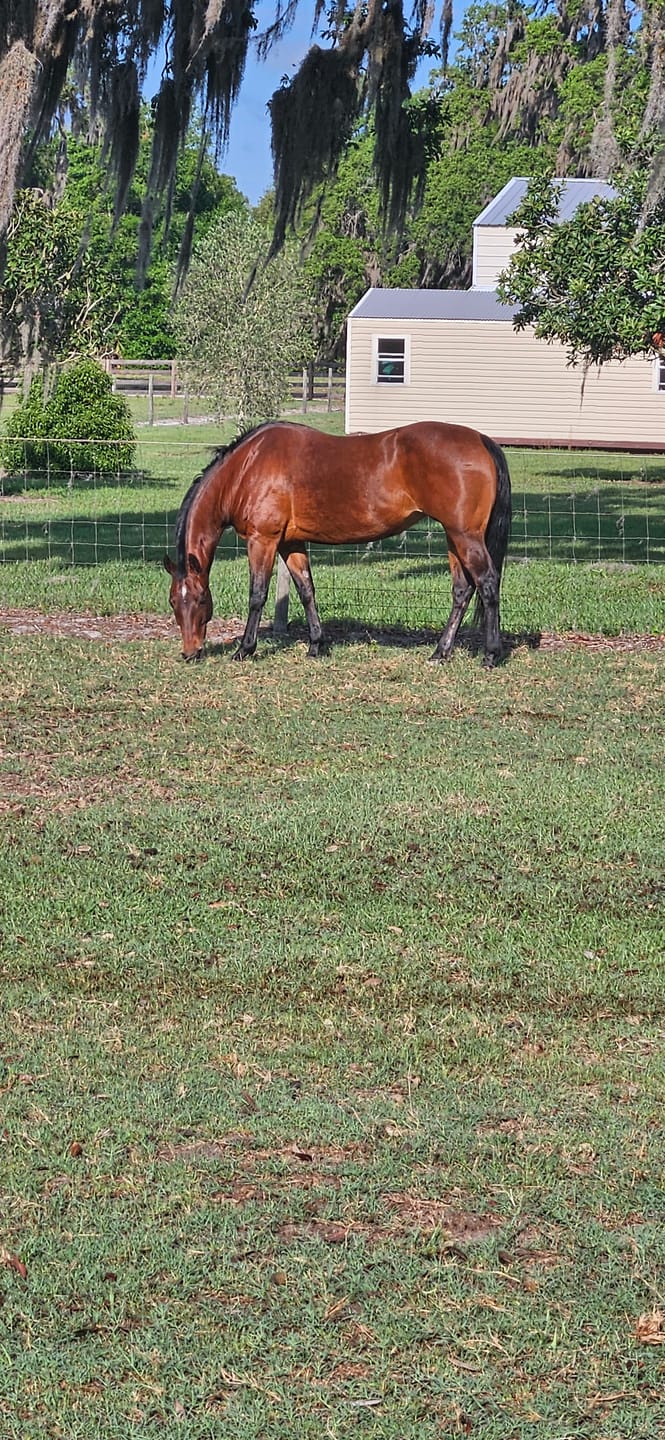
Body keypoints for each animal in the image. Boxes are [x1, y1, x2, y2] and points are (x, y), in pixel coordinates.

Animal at [164, 419, 512, 668]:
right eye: (173, 602)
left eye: (200, 600)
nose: (190, 652)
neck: (248, 467)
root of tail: (481, 440)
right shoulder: (291, 543)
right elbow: (306, 590)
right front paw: (316, 645)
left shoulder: (263, 540)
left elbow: (257, 595)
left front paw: (244, 649)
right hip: (454, 537)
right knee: (462, 590)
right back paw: (440, 652)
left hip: (465, 535)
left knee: (487, 584)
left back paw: (490, 655)